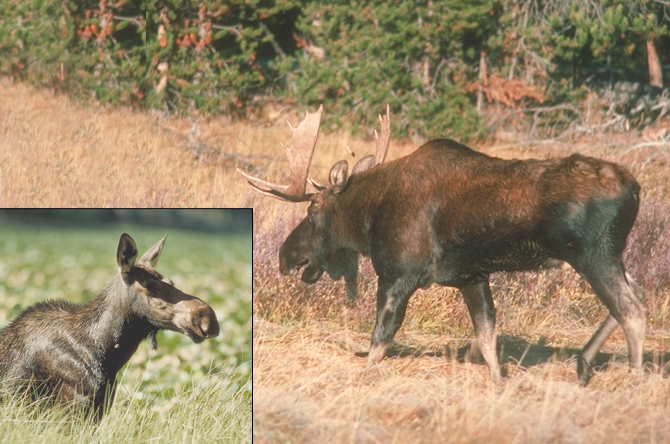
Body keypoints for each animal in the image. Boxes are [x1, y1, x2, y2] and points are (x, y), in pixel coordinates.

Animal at [239, 105, 646, 386]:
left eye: (313, 211)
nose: (284, 255)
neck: (370, 214)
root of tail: (635, 189)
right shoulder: (472, 276)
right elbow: (487, 339)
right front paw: (498, 383)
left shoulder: (398, 273)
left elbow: (380, 339)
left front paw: (362, 378)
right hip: (612, 253)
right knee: (634, 294)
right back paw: (584, 363)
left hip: (592, 253)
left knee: (632, 310)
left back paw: (633, 379)